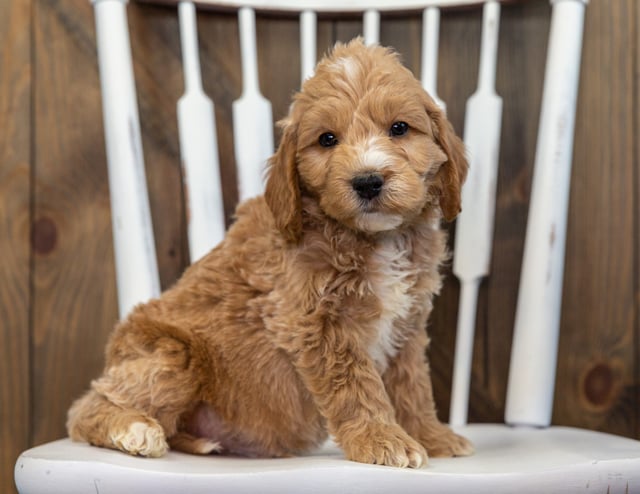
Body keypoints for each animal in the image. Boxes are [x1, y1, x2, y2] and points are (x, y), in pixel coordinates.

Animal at [67, 37, 472, 466]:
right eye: (327, 139)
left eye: (399, 129)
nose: (367, 181)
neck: (372, 238)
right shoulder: (315, 324)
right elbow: (355, 385)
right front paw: (381, 439)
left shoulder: (407, 323)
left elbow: (412, 386)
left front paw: (430, 435)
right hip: (174, 353)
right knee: (85, 409)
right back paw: (135, 429)